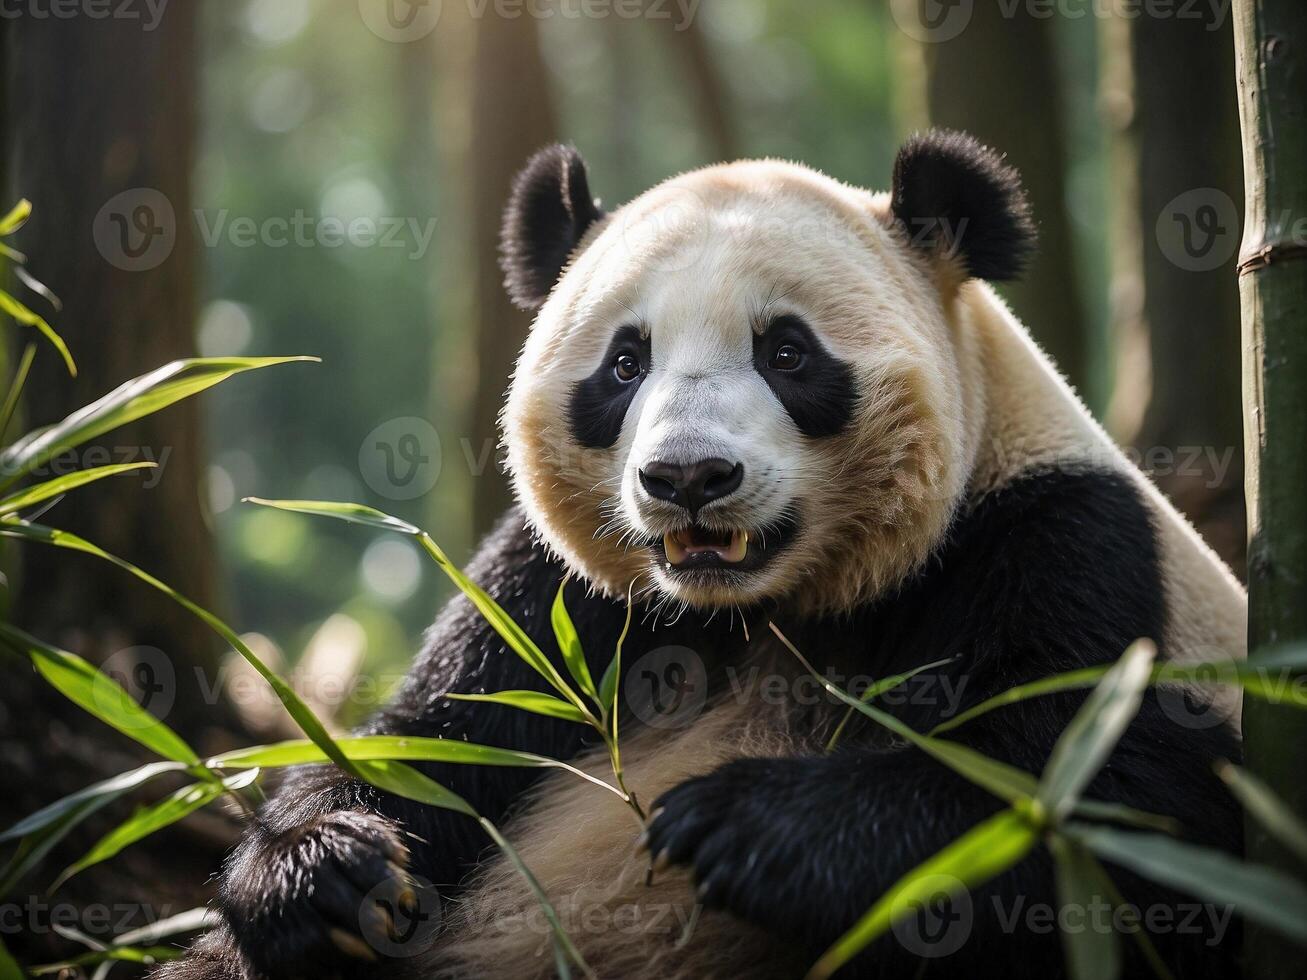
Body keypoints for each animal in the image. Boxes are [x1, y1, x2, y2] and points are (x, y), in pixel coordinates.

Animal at [163, 134, 1244, 980]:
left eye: (787, 352)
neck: (762, 601)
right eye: (623, 362)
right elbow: (436, 736)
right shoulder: (566, 590)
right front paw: (327, 870)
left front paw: (733, 824)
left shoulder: (1062, 542)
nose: (687, 476)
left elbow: (1076, 797)